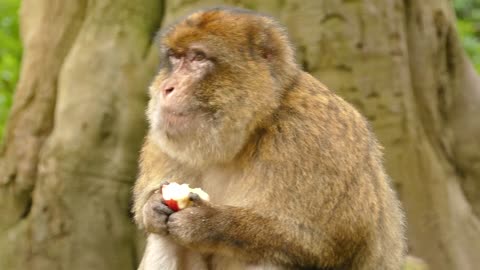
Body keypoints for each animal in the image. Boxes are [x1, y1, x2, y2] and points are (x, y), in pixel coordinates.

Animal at [131, 6, 404, 270]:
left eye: (198, 57)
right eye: (176, 58)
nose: (167, 87)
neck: (252, 130)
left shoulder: (314, 138)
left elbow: (330, 243)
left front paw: (208, 222)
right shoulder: (162, 145)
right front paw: (152, 207)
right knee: (164, 238)